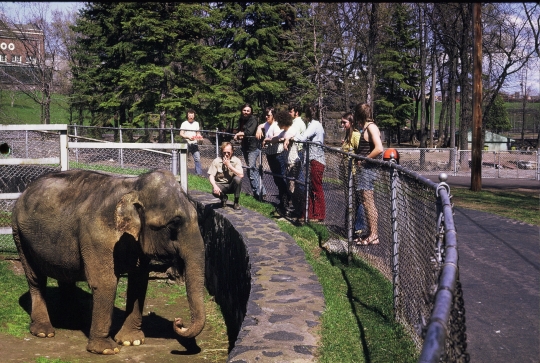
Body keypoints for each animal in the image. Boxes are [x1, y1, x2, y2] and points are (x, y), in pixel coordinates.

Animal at [13, 170, 207, 356]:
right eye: (174, 224)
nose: (179, 322)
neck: (133, 186)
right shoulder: (97, 235)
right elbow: (105, 283)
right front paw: (106, 349)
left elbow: (139, 281)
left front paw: (131, 341)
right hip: (19, 235)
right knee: (35, 278)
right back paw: (44, 331)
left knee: (65, 276)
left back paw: (75, 320)